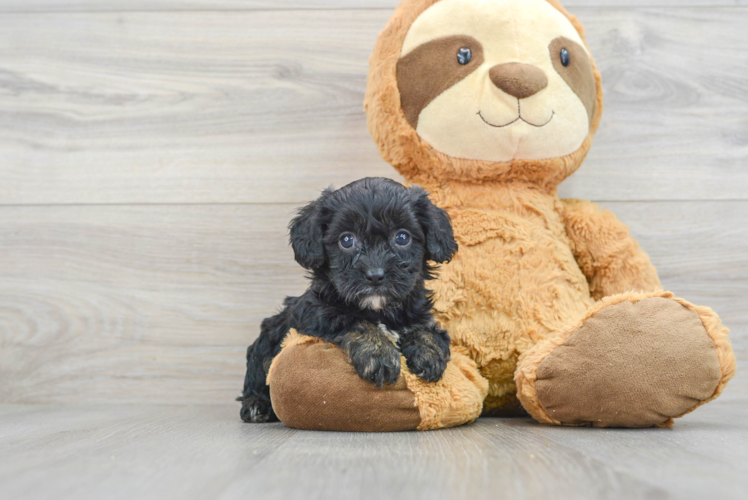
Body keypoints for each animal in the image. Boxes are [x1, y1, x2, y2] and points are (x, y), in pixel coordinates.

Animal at [243, 178, 458, 424]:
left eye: (402, 238)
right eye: (347, 240)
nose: (375, 275)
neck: (379, 309)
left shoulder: (419, 313)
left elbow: (426, 330)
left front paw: (429, 354)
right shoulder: (313, 311)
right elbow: (355, 321)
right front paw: (379, 354)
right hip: (266, 342)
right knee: (257, 372)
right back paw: (256, 405)